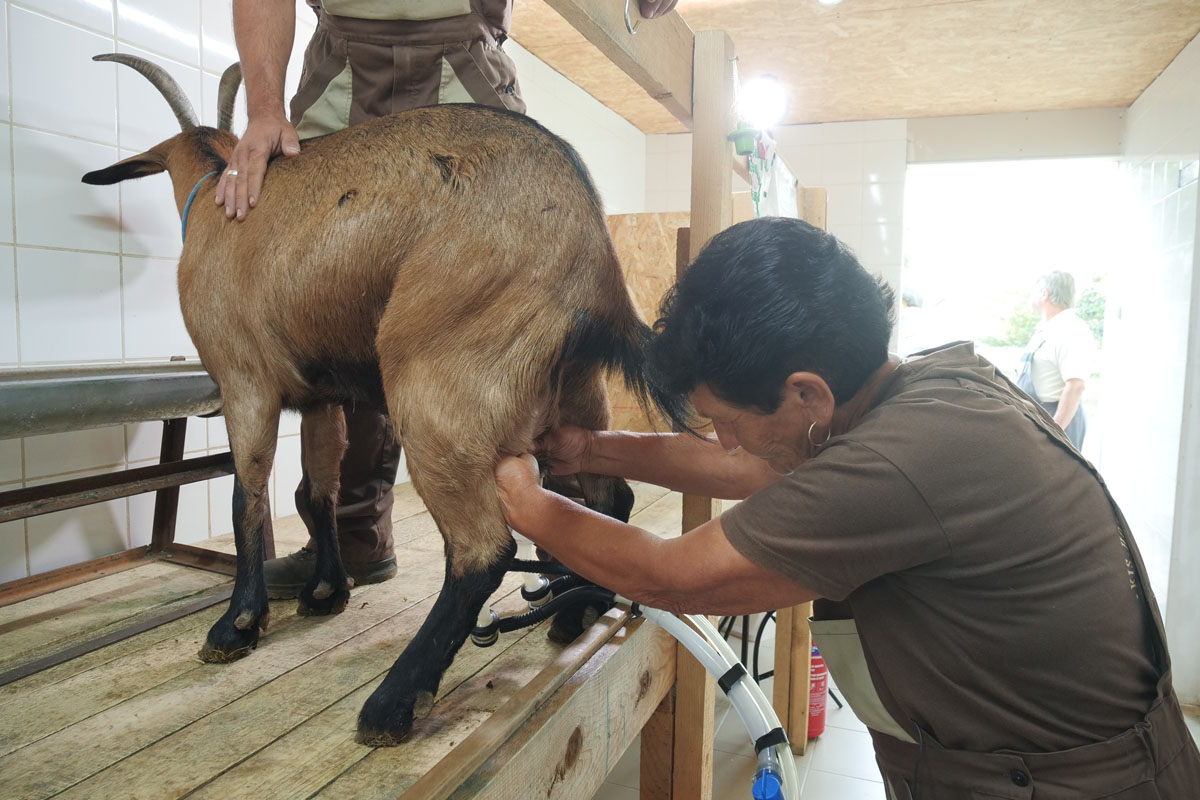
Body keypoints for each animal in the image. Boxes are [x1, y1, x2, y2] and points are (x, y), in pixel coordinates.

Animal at [82, 54, 659, 746]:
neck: (222, 195)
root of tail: (588, 232)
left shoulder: (246, 381)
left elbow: (248, 495)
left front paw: (237, 625)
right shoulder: (321, 396)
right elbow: (315, 490)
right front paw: (326, 591)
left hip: (436, 388)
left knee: (482, 548)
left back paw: (393, 702)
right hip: (575, 396)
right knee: (609, 498)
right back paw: (579, 610)